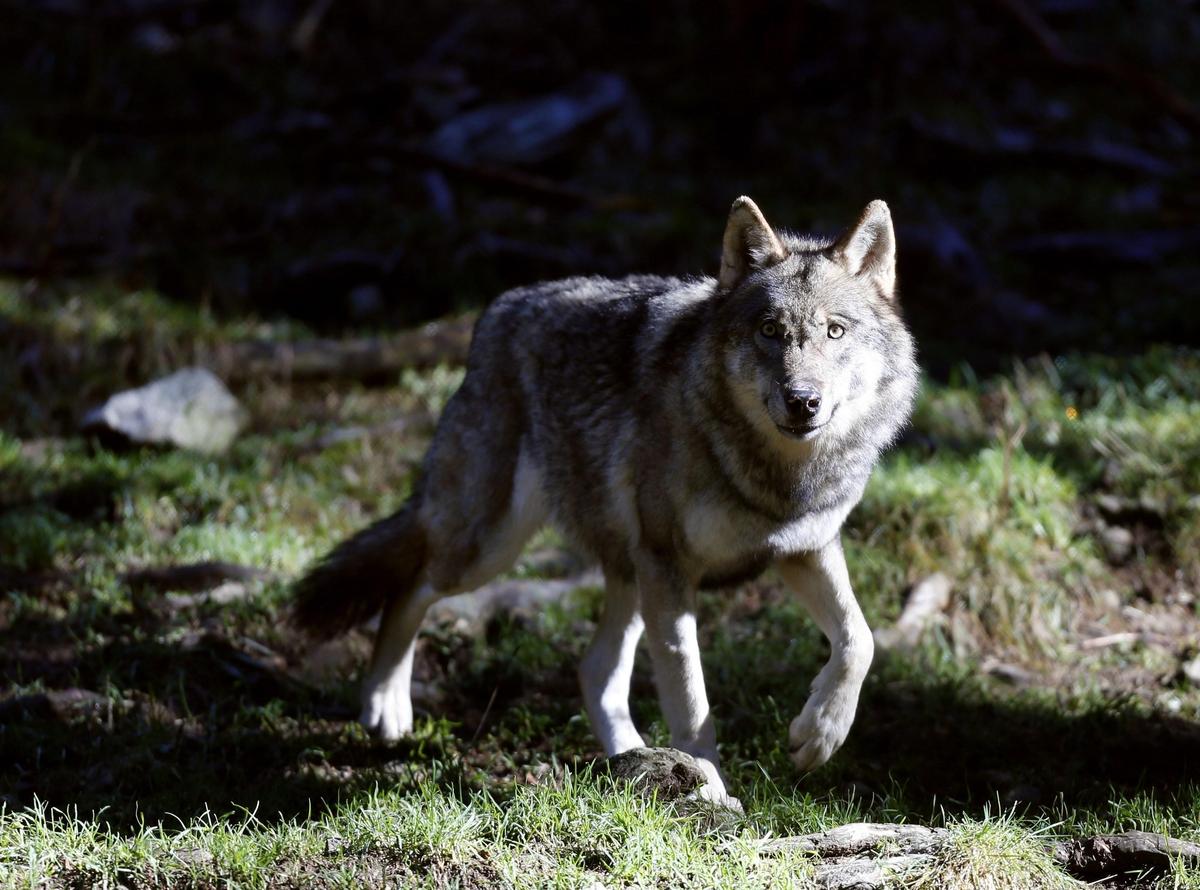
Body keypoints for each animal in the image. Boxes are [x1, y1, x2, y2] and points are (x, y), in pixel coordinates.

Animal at [290, 196, 916, 810]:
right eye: (769, 330)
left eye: (835, 331)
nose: (802, 400)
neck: (776, 476)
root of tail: (499, 310)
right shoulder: (670, 566)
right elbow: (691, 699)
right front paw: (712, 790)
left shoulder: (804, 549)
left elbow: (859, 640)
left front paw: (819, 735)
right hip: (489, 548)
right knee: (410, 586)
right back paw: (385, 705)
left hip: (623, 576)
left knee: (594, 670)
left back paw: (630, 762)